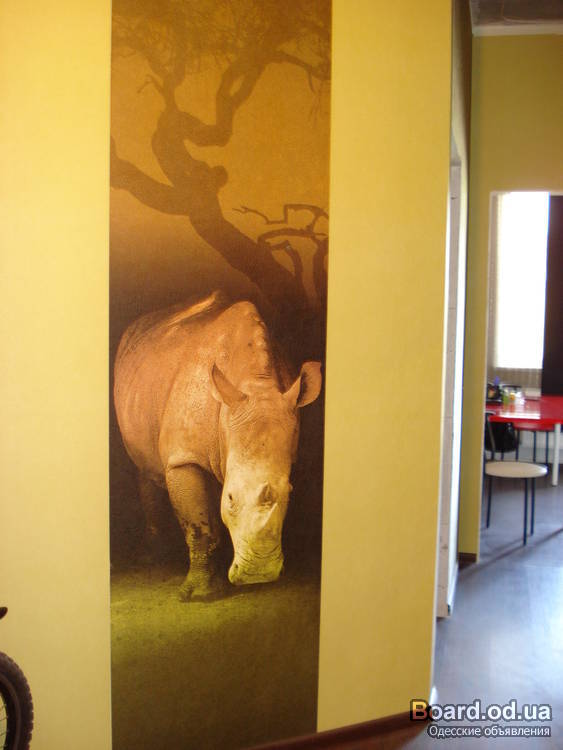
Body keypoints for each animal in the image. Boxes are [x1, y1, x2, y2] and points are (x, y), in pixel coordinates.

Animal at [113, 292, 322, 600]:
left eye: (290, 494)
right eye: (231, 499)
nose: (259, 574)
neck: (255, 385)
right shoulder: (183, 457)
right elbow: (198, 526)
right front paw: (201, 594)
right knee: (144, 469)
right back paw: (152, 557)